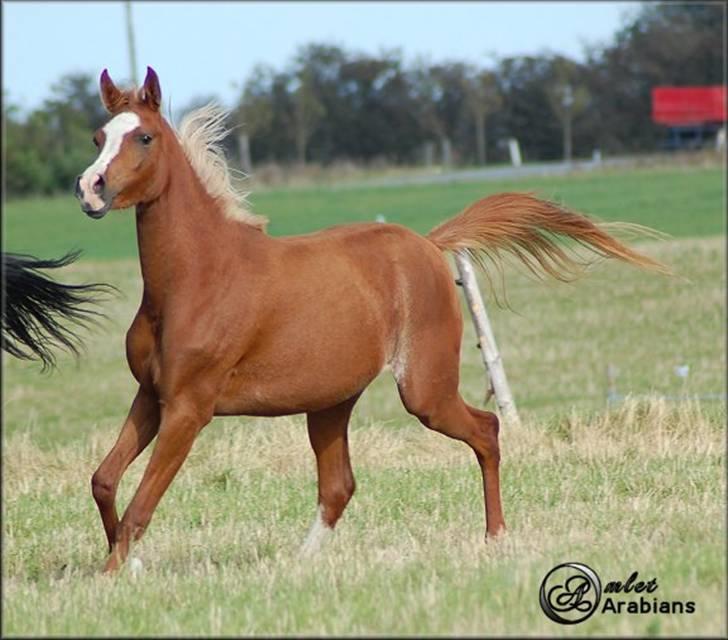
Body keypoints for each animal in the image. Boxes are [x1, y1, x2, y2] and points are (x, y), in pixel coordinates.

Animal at [77, 67, 668, 572]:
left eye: (144, 138)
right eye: (99, 136)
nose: (90, 189)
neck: (197, 281)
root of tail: (429, 244)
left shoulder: (189, 409)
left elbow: (141, 503)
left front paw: (110, 576)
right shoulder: (152, 396)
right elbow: (104, 480)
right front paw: (129, 565)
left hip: (424, 390)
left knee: (486, 429)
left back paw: (495, 536)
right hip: (331, 402)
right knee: (338, 486)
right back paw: (300, 564)